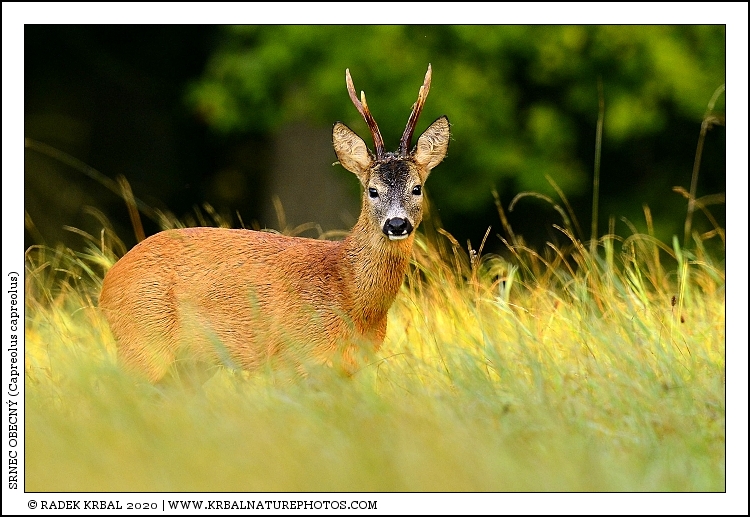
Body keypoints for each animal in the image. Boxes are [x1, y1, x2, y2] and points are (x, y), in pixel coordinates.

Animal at [98, 64, 450, 384]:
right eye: (372, 190)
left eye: (416, 188)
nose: (397, 224)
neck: (348, 293)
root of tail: (107, 284)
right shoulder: (290, 358)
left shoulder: (347, 370)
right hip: (143, 341)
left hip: (189, 365)